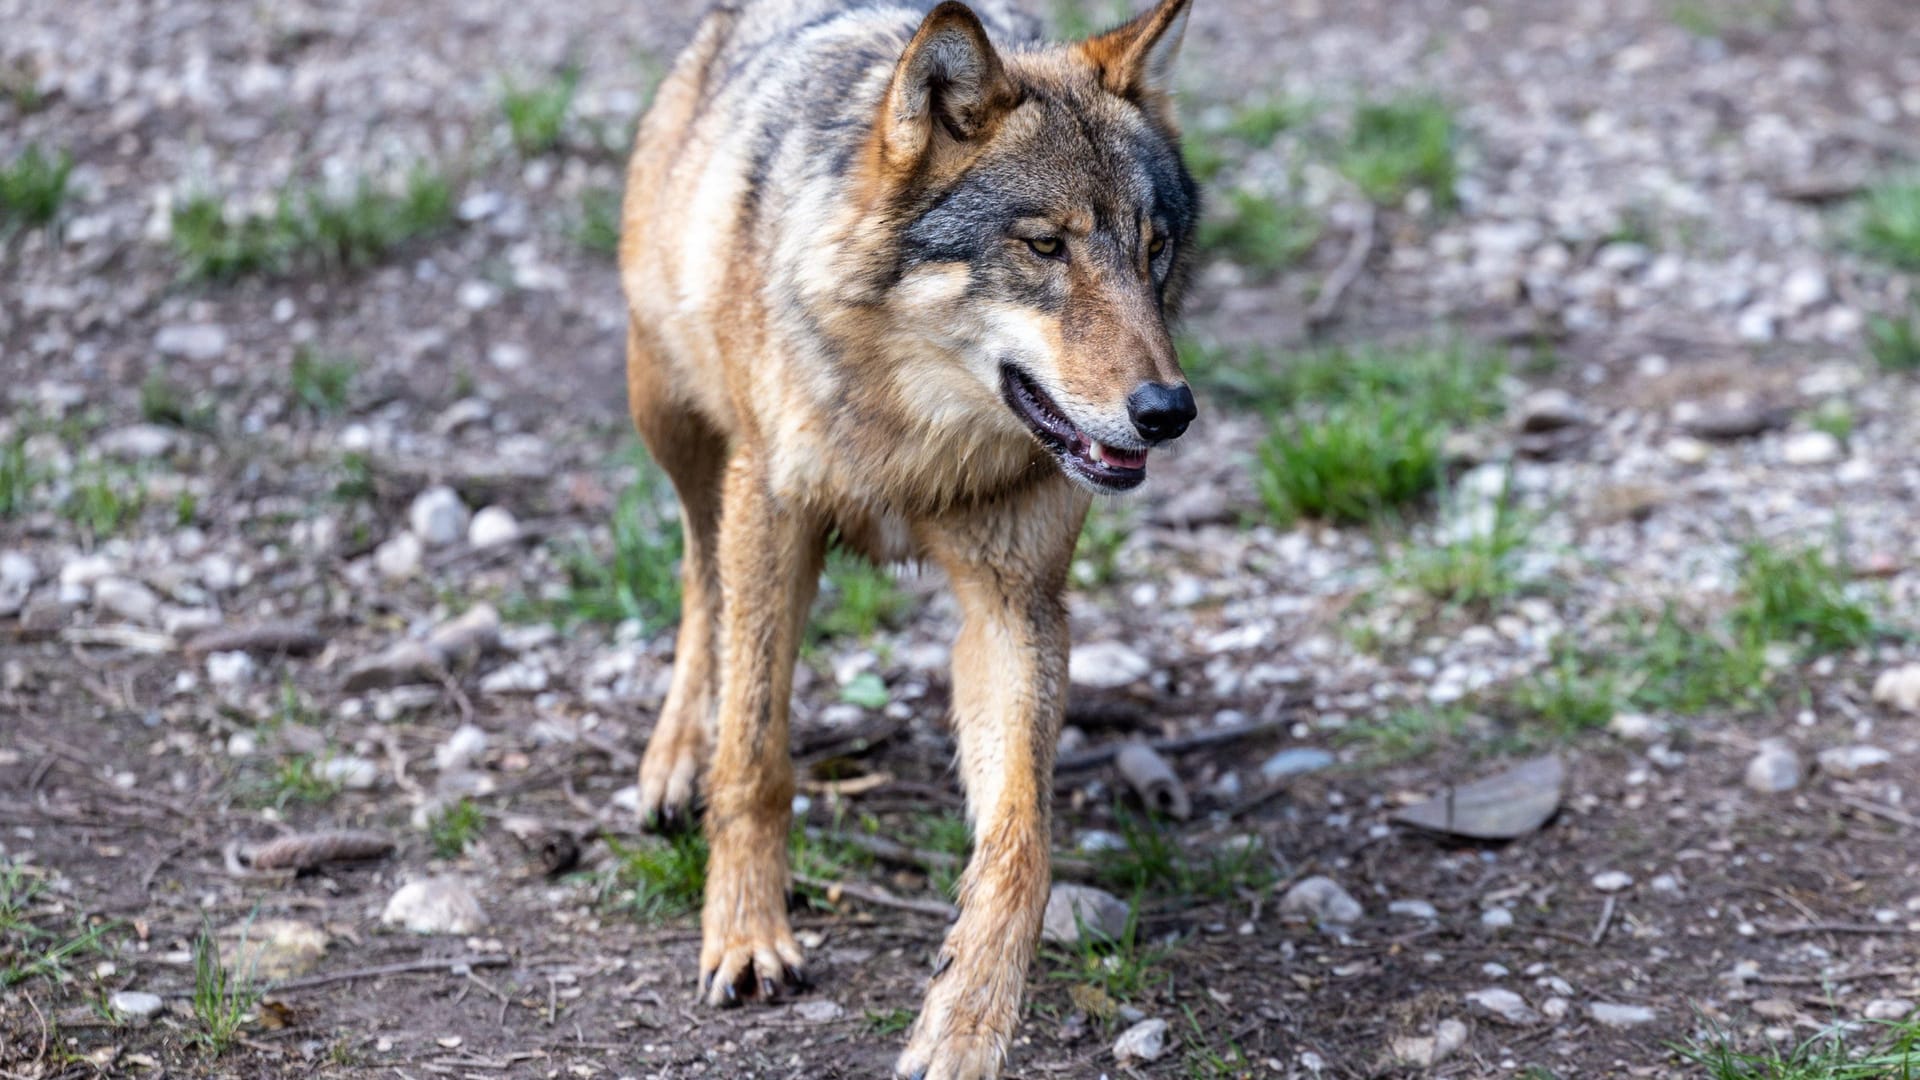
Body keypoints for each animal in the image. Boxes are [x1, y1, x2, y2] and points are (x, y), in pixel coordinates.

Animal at [618, 2, 1198, 1068]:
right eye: (1045, 247)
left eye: (1155, 249)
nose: (1167, 411)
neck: (918, 442)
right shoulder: (772, 515)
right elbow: (755, 759)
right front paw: (748, 937)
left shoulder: (1015, 603)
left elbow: (1020, 844)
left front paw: (966, 1020)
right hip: (675, 421)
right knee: (697, 573)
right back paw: (675, 756)